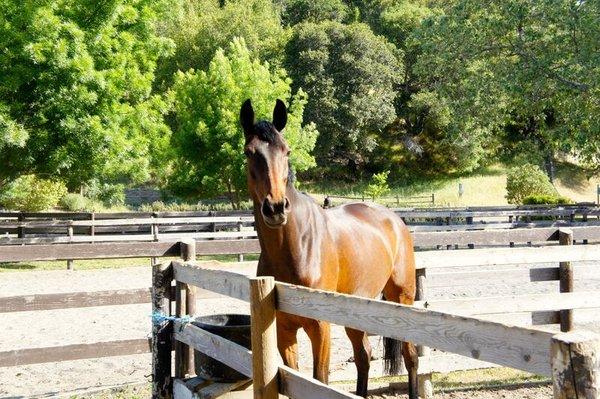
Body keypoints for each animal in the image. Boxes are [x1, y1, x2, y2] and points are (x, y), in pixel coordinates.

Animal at [239, 99, 418, 399]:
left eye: (287, 150)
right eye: (249, 152)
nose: (276, 208)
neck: (296, 247)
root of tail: (394, 220)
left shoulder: (320, 328)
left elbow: (319, 380)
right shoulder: (284, 330)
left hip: (401, 301)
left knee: (410, 357)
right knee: (363, 356)